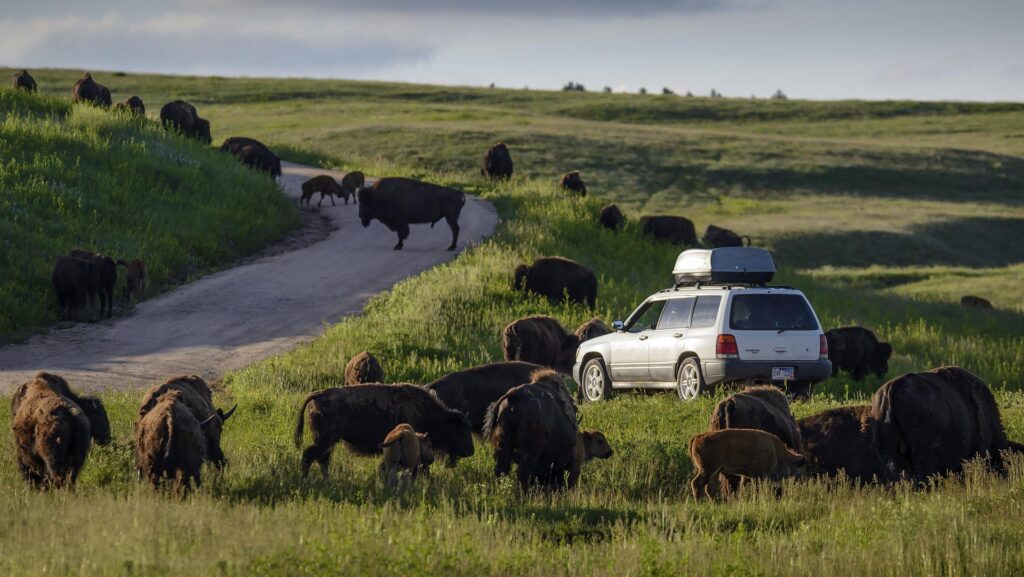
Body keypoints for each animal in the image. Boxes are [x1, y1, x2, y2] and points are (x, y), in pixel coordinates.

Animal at [294, 384, 474, 478]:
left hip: (327, 442)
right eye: (461, 429)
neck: (426, 411)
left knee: (321, 459)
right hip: (324, 440)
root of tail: (318, 395)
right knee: (310, 456)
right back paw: (306, 479)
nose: (471, 451)